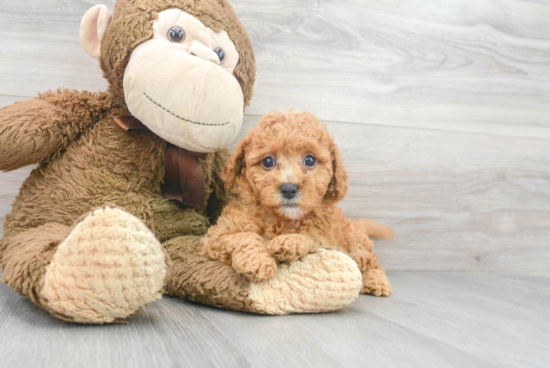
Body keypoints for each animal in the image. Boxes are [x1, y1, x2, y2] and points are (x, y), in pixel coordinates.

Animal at [201, 109, 394, 296]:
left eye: (310, 160)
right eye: (268, 161)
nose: (288, 189)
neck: (281, 220)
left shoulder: (328, 241)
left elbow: (310, 236)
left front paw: (289, 242)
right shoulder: (216, 237)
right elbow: (243, 236)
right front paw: (258, 262)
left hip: (355, 240)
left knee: (370, 262)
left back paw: (377, 282)